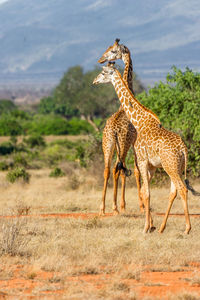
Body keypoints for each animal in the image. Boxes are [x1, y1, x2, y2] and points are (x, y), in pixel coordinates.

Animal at [93, 62, 199, 233]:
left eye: (103, 73)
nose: (94, 81)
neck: (138, 121)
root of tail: (184, 149)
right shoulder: (152, 165)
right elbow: (145, 191)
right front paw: (151, 225)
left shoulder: (142, 161)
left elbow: (146, 192)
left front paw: (145, 227)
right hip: (175, 167)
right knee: (173, 191)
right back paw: (162, 227)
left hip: (170, 166)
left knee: (182, 188)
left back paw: (187, 228)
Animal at [97, 38, 143, 216]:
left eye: (112, 50)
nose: (101, 59)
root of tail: (114, 130)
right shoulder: (134, 144)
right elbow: (135, 170)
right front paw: (141, 205)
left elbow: (124, 171)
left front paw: (124, 205)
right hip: (122, 145)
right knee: (117, 169)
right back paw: (114, 207)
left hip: (108, 145)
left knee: (107, 170)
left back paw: (103, 208)